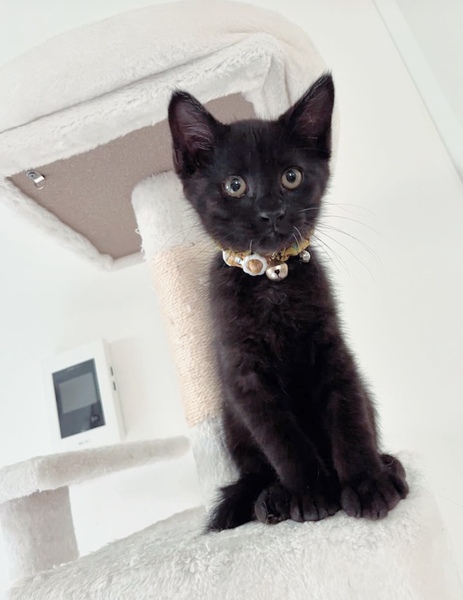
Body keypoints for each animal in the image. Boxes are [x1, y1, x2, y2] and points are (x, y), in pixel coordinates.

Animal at [167, 73, 408, 531]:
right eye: (235, 185)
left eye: (292, 177)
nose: (272, 211)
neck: (271, 280)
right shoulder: (245, 374)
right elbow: (282, 439)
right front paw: (312, 493)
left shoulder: (332, 349)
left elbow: (349, 418)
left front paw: (367, 483)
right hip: (233, 424)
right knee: (257, 474)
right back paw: (272, 498)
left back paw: (390, 467)